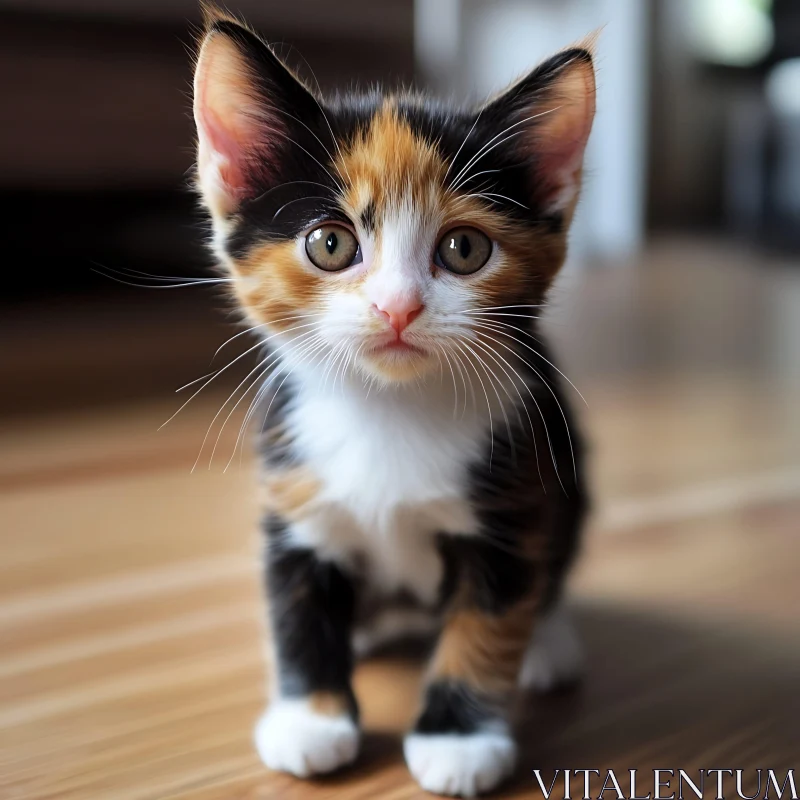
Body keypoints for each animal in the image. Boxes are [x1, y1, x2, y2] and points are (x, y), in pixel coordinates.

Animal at [192, 9, 592, 796]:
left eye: (465, 249)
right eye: (329, 243)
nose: (397, 306)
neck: (388, 410)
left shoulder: (511, 503)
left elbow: (487, 623)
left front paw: (460, 740)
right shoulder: (292, 497)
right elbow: (294, 609)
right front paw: (310, 720)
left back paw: (551, 640)